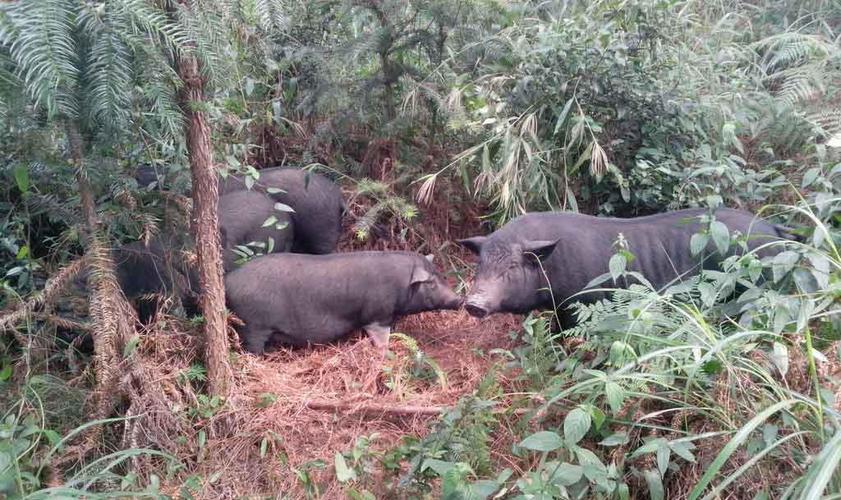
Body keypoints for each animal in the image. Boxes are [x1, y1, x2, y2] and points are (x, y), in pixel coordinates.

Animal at [226, 252, 462, 354]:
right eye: (430, 282)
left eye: (439, 275)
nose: (459, 299)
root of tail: (228, 280)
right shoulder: (377, 315)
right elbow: (380, 336)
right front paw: (387, 352)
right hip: (253, 325)